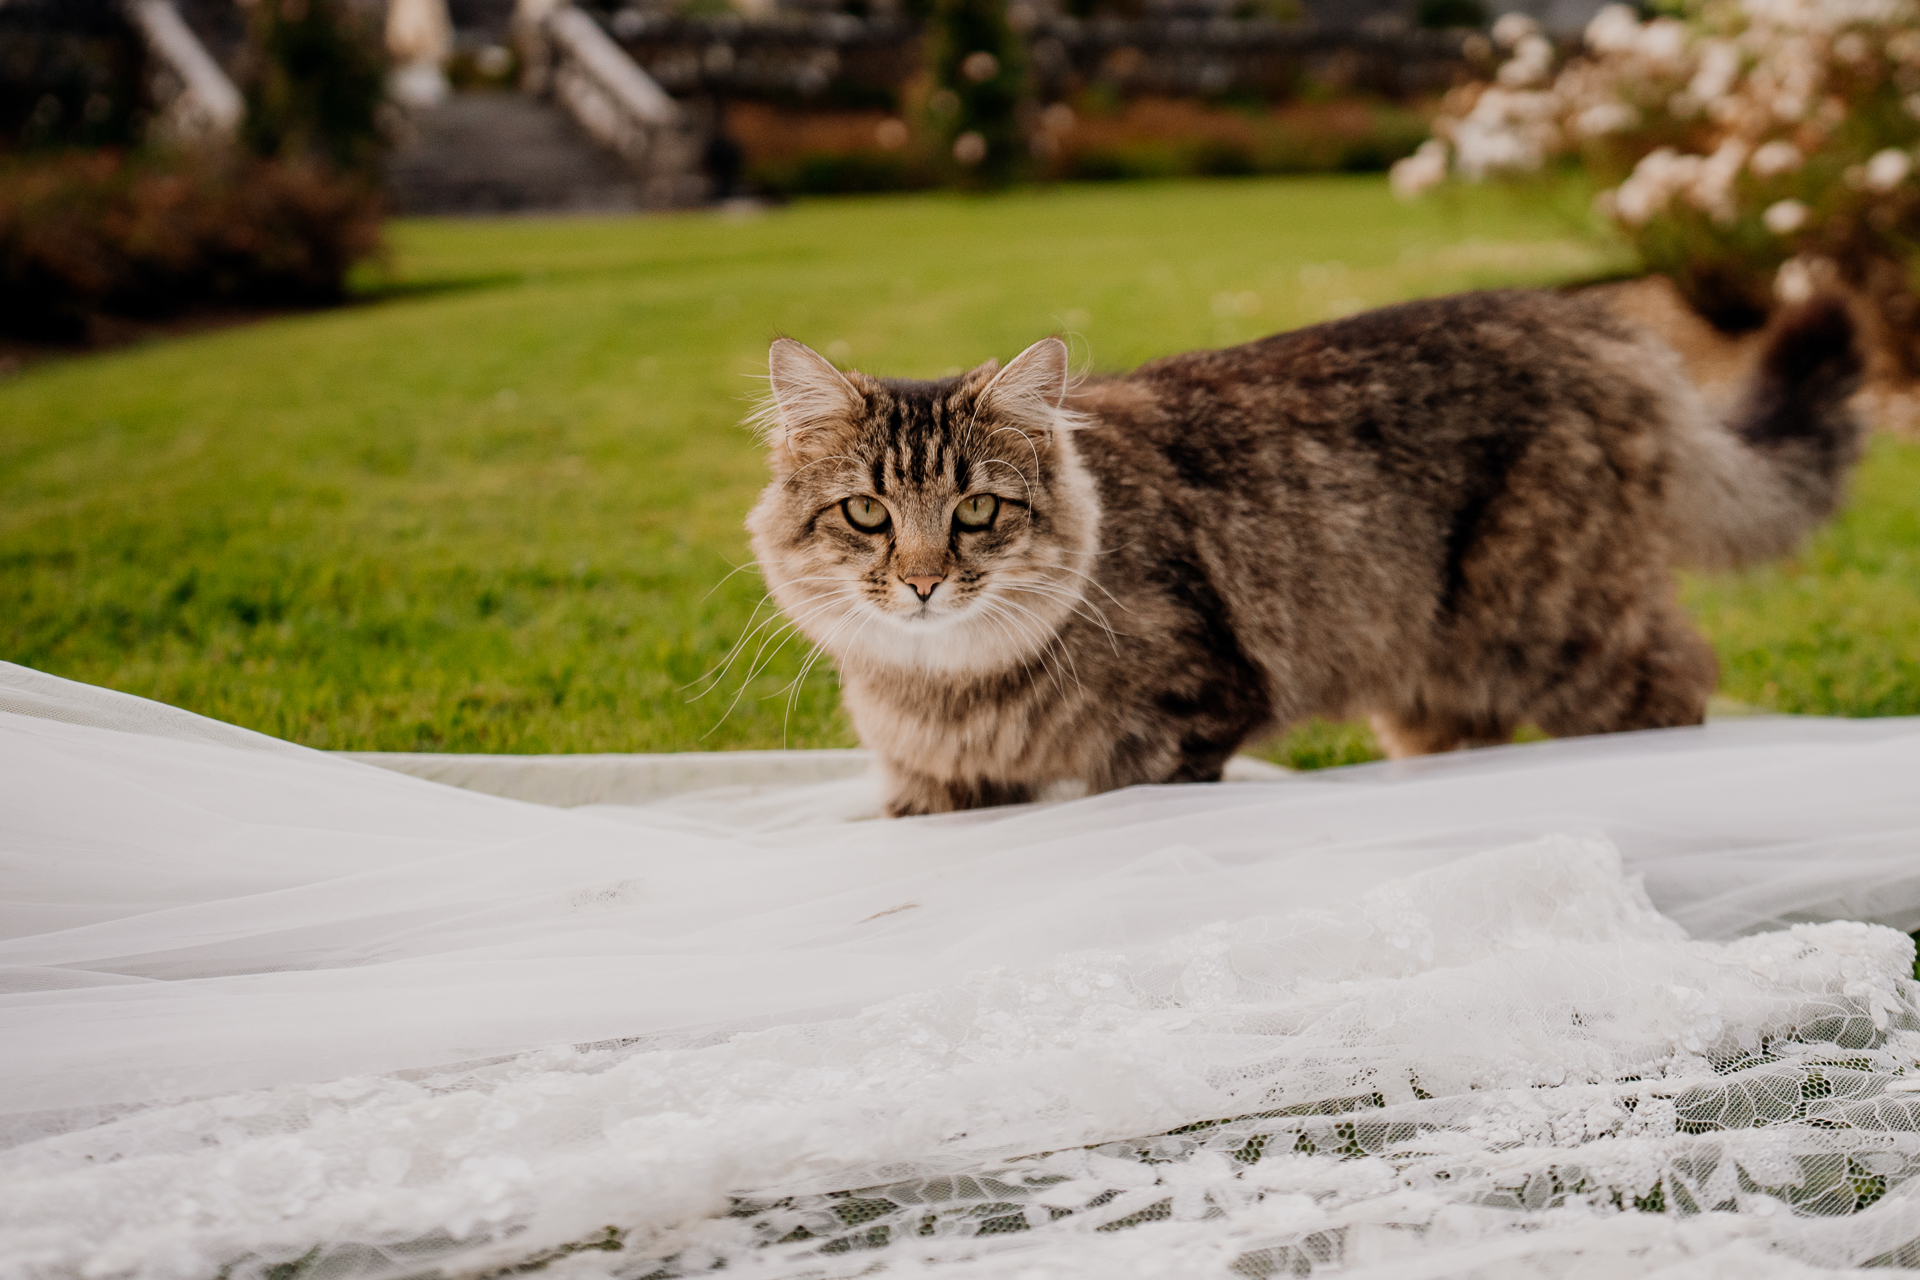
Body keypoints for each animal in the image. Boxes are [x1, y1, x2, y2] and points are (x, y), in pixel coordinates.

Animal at [741, 291, 1850, 817]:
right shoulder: (931, 789)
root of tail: (1598, 323)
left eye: (976, 510)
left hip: (1557, 628)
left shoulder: (1176, 729)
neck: (950, 684)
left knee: (1679, 680)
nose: (923, 581)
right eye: (868, 514)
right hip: (1436, 676)